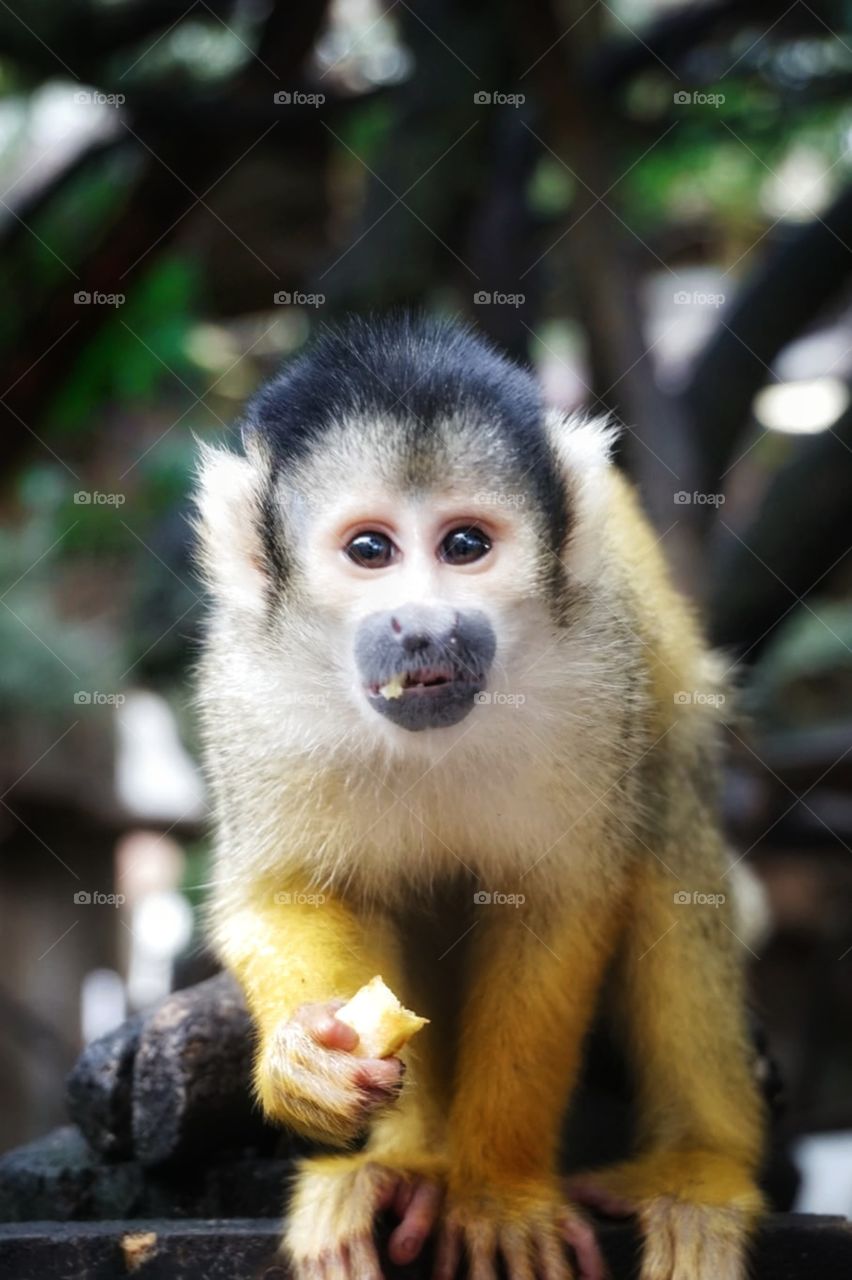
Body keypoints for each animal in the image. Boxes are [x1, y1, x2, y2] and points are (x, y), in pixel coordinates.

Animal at [193, 314, 765, 1280]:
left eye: (465, 547)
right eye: (370, 550)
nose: (423, 626)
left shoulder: (595, 680)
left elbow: (558, 901)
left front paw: (499, 1194)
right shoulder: (250, 692)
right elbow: (286, 894)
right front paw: (306, 1066)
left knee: (662, 815)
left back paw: (702, 1168)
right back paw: (401, 1165)